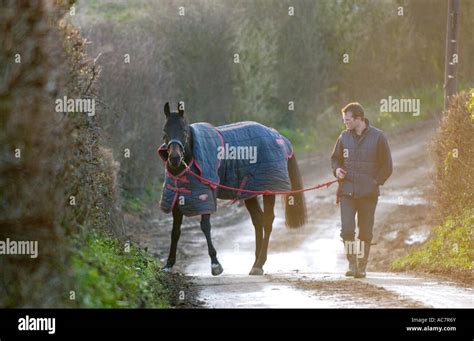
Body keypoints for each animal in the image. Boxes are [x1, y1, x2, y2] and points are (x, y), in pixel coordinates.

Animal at [159, 102, 308, 274]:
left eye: (183, 131)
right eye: (165, 131)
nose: (174, 159)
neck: (189, 163)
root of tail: (280, 137)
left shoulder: (206, 195)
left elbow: (205, 226)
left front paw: (215, 264)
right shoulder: (178, 197)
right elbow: (175, 231)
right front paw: (168, 264)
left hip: (268, 189)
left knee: (268, 220)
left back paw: (259, 263)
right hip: (249, 192)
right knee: (258, 220)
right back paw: (256, 263)